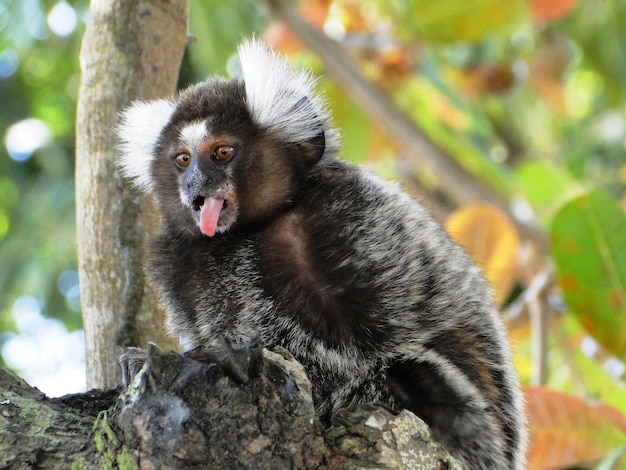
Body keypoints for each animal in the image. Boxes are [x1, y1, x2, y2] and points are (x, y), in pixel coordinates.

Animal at [116, 39, 520, 466]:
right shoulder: (178, 267)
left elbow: (357, 355)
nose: (195, 182)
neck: (250, 231)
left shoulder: (354, 224)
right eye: (183, 159)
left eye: (222, 152)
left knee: (418, 371)